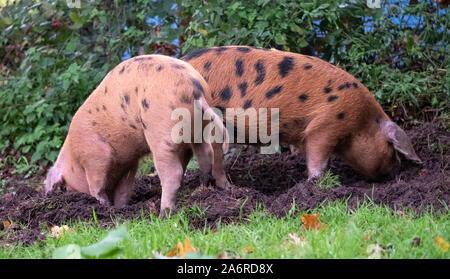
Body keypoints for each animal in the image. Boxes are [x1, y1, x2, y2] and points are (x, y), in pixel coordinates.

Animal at [45, 55, 227, 215]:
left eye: (65, 186)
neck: (74, 157)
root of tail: (195, 89)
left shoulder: (95, 156)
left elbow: (96, 186)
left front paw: (104, 206)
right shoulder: (129, 161)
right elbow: (124, 189)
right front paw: (120, 208)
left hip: (161, 134)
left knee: (173, 173)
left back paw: (164, 212)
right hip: (199, 128)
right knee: (207, 154)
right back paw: (209, 186)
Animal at [182, 45, 422, 186]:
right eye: (392, 148)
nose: (398, 170)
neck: (363, 121)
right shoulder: (326, 125)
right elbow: (318, 158)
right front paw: (316, 183)